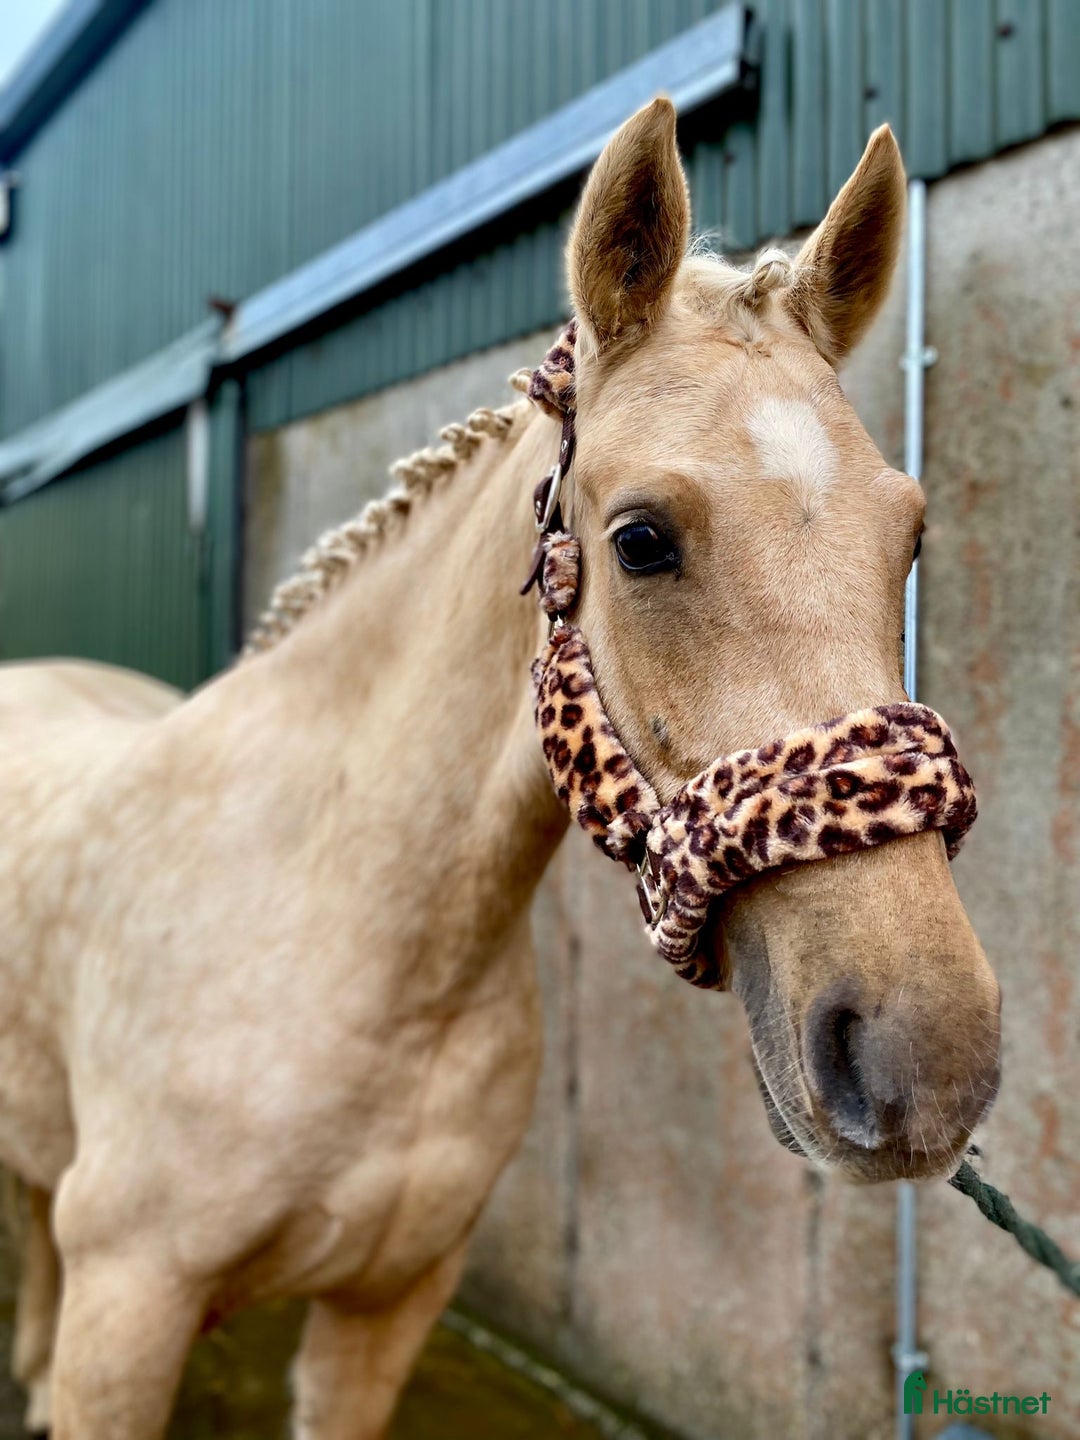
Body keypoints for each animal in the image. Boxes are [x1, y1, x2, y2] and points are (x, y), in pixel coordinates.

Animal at [0, 98, 1000, 1439]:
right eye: (641, 540)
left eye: (911, 532)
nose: (922, 1062)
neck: (364, 933)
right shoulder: (129, 1309)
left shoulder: (389, 1306)